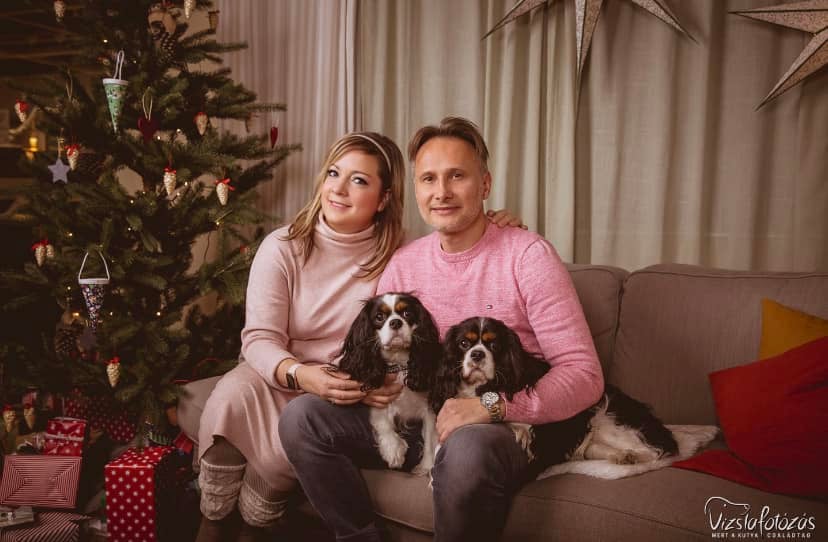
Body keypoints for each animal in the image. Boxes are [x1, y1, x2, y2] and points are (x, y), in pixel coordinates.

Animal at [338, 292, 442, 475]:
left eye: (407, 313)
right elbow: (383, 422)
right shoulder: (380, 397)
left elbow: (429, 437)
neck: (399, 361)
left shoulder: (429, 408)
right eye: (379, 317)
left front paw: (426, 466)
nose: (395, 322)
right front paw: (393, 450)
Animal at [429, 316, 679, 477]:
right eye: (464, 344)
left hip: (606, 418)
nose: (477, 354)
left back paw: (632, 457)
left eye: (494, 344)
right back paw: (620, 456)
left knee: (656, 451)